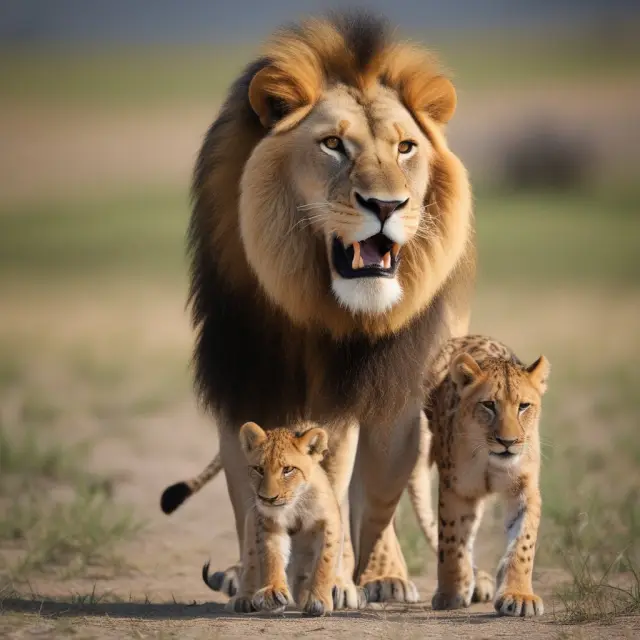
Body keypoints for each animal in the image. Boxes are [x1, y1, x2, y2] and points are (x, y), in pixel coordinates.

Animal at [188, 10, 474, 603]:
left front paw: (333, 582)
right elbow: (248, 503)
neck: (306, 304)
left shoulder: (344, 402)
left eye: (405, 148)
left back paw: (383, 578)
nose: (387, 205)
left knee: (375, 501)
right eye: (334, 144)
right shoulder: (241, 382)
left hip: (404, 414)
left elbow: (338, 490)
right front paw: (255, 582)